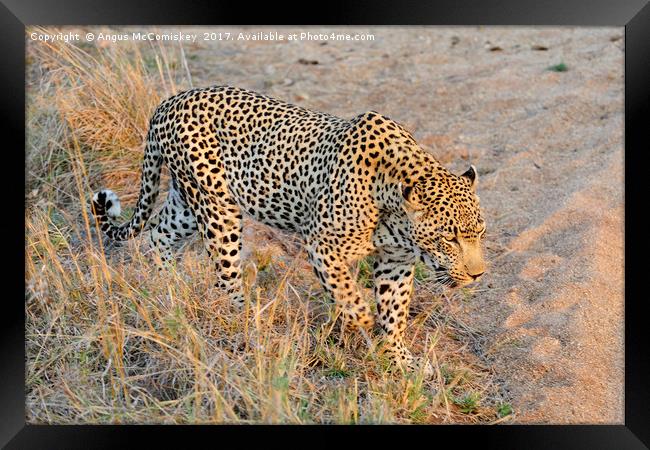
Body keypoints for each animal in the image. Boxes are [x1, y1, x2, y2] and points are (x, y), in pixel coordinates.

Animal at [92, 85, 486, 376]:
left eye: (480, 233)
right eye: (449, 237)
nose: (478, 274)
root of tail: (168, 102)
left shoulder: (396, 261)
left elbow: (394, 313)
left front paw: (400, 361)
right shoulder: (324, 247)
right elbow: (350, 297)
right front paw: (356, 326)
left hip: (188, 203)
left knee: (159, 234)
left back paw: (168, 289)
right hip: (218, 210)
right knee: (225, 277)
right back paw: (248, 326)